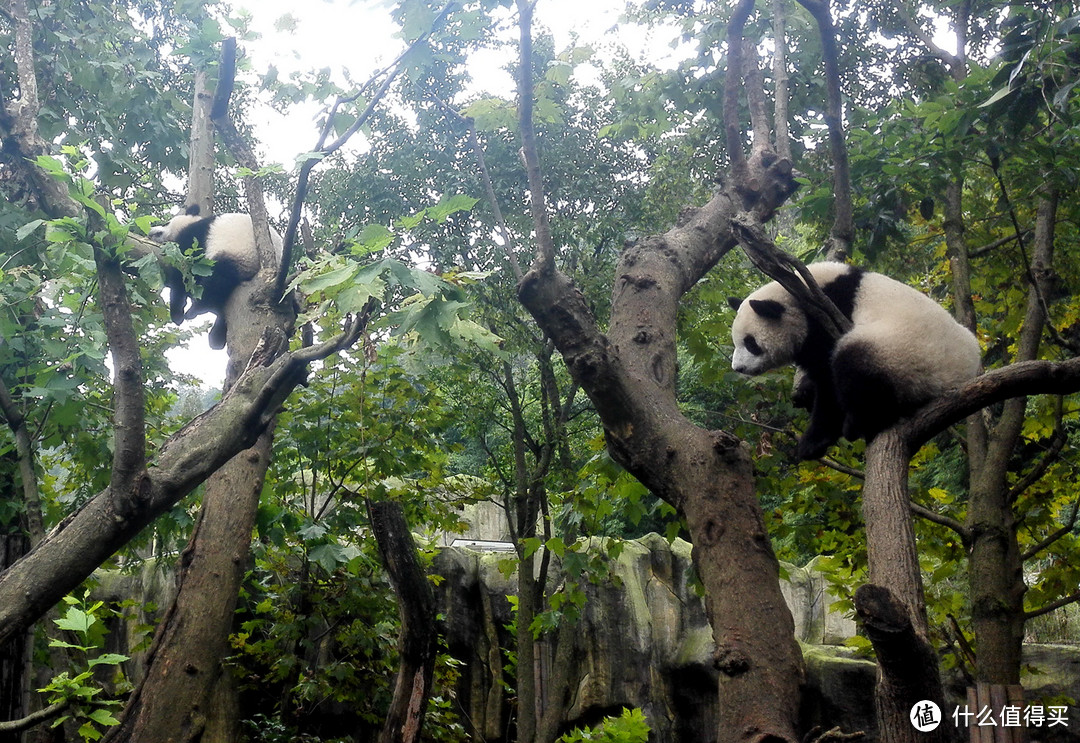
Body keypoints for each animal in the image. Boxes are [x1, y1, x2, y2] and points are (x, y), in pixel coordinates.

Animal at [149, 204, 282, 349]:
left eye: (166, 223)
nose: (150, 232)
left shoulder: (195, 237)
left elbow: (183, 273)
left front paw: (177, 313)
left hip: (241, 254)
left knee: (218, 279)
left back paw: (195, 310)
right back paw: (216, 337)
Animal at [730, 261, 984, 457]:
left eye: (751, 343)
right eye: (736, 342)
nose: (738, 368)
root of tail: (963, 375)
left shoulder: (826, 317)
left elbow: (828, 382)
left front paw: (812, 443)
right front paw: (804, 392)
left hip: (908, 356)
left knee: (857, 365)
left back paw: (857, 425)